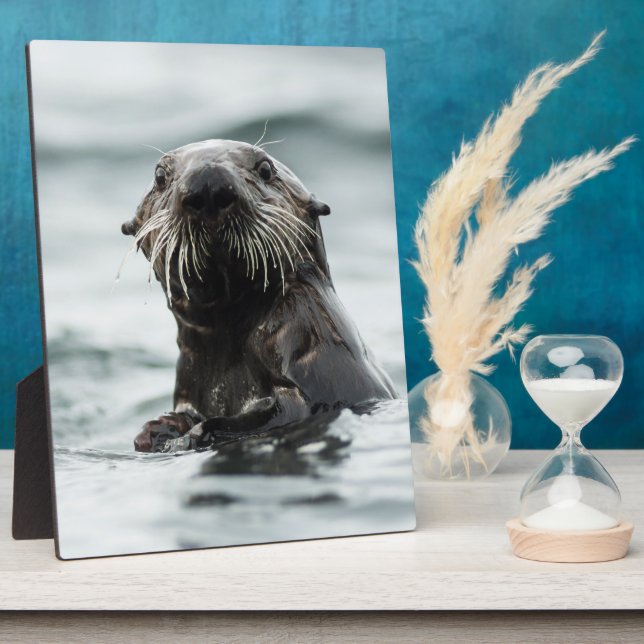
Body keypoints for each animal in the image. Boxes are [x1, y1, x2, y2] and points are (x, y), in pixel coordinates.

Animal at [121, 139, 396, 452]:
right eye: (160, 176)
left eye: (265, 169)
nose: (208, 184)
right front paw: (158, 429)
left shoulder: (306, 330)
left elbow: (287, 410)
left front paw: (195, 433)